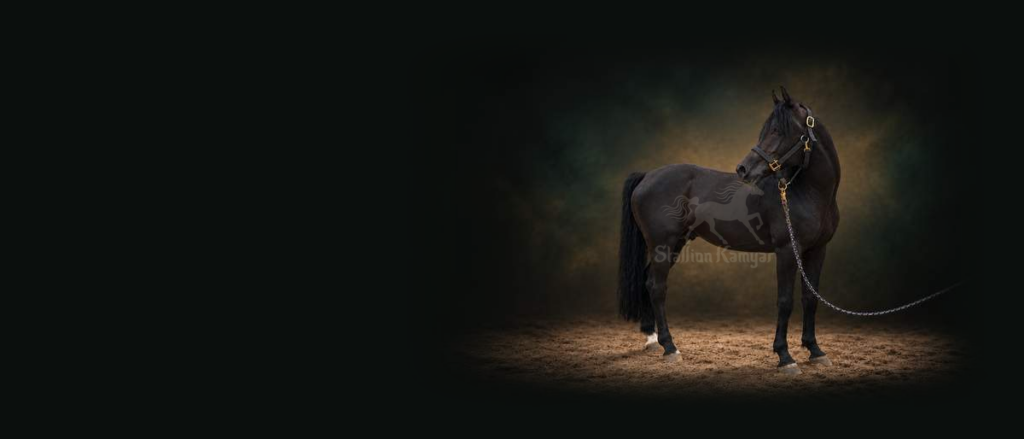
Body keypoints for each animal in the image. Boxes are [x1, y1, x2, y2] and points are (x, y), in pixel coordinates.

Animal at [618, 87, 839, 374]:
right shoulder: (787, 251)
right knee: (657, 287)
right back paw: (670, 347)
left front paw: (815, 351)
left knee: (647, 281)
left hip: (674, 245)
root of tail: (647, 176)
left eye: (778, 131)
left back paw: (652, 339)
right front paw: (785, 357)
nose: (743, 169)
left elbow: (810, 299)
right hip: (662, 245)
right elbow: (785, 301)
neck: (806, 193)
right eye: (768, 130)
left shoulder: (817, 250)